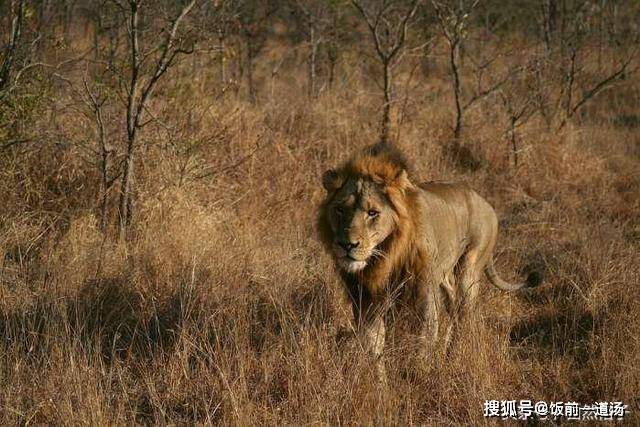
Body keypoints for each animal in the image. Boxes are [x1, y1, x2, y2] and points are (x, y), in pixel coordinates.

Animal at [318, 143, 536, 368]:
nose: (346, 245)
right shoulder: (365, 299)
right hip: (444, 276)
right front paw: (377, 375)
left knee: (464, 315)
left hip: (469, 269)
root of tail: (485, 202)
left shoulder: (424, 295)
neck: (386, 257)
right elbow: (373, 345)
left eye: (372, 213)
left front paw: (418, 374)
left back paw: (453, 357)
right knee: (453, 308)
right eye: (340, 209)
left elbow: (422, 343)